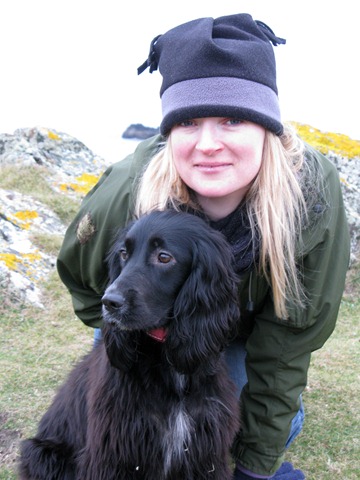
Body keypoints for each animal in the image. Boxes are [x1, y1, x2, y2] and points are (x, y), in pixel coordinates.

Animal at [18, 211, 240, 480]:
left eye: (164, 257)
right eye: (124, 253)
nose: (109, 302)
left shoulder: (205, 454)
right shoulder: (114, 456)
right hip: (42, 454)